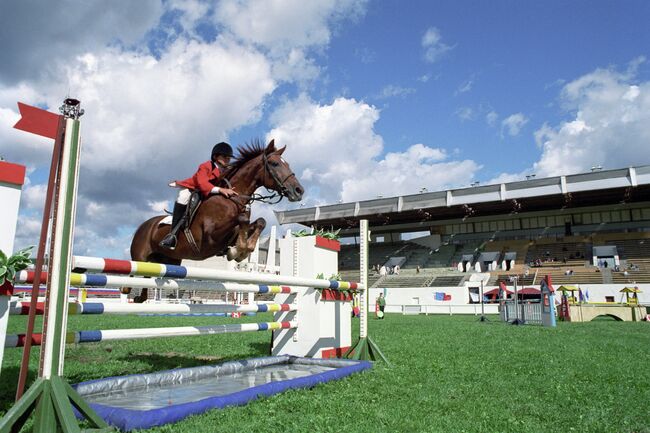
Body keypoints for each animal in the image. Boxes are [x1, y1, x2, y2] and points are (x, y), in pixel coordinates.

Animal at [126, 138, 304, 300]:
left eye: (287, 164)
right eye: (274, 164)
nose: (299, 190)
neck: (231, 199)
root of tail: (143, 226)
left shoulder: (232, 233)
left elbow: (259, 222)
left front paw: (241, 250)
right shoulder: (210, 237)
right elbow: (242, 220)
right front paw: (237, 251)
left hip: (169, 261)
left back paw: (139, 298)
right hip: (140, 258)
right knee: (133, 275)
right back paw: (128, 290)